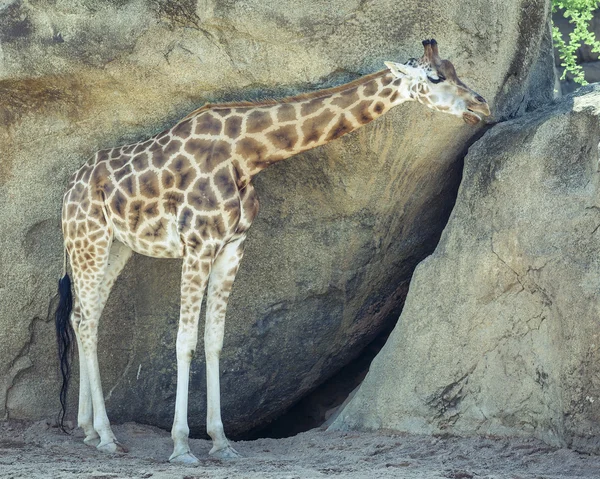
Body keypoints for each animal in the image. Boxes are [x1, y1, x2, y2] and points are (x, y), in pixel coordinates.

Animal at [54, 40, 490, 464]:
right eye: (434, 78)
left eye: (455, 70)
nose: (481, 106)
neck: (247, 154)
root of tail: (68, 190)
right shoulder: (198, 243)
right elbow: (184, 342)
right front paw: (181, 447)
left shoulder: (233, 245)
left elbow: (214, 340)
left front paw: (221, 442)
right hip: (89, 239)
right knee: (87, 319)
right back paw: (107, 437)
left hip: (116, 247)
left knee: (84, 317)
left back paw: (89, 431)